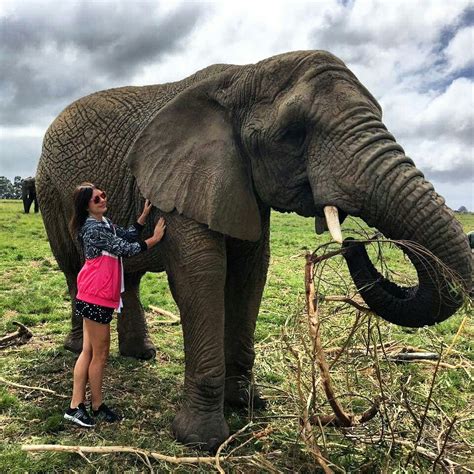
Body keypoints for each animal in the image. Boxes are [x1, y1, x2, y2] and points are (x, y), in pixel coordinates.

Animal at [36, 50, 470, 450]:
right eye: (293, 134)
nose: (351, 243)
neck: (245, 74)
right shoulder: (188, 178)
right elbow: (201, 277)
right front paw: (201, 441)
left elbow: (249, 276)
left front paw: (247, 405)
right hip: (50, 192)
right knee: (74, 268)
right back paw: (78, 348)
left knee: (130, 274)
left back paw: (141, 355)